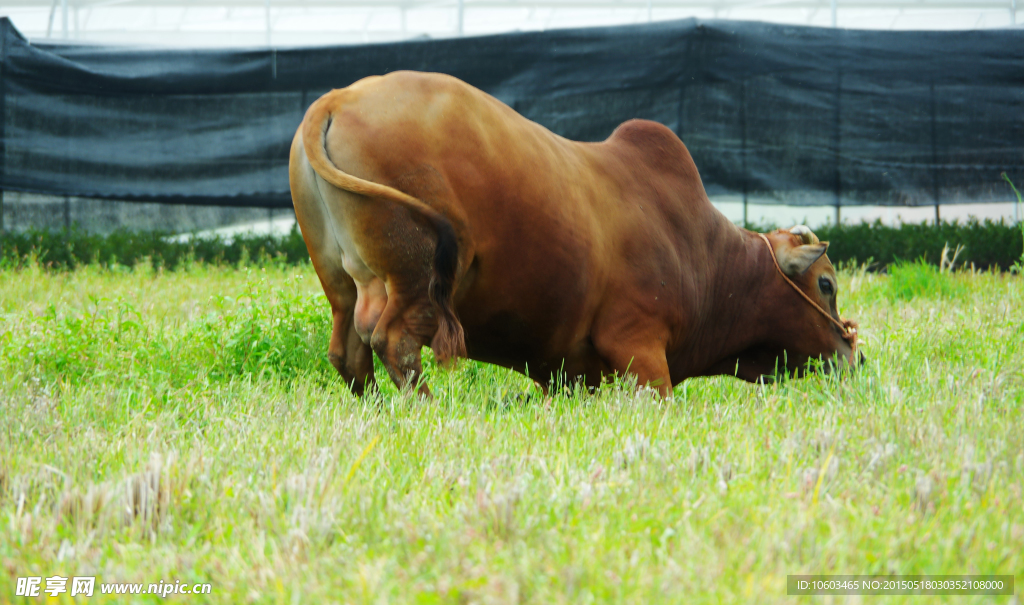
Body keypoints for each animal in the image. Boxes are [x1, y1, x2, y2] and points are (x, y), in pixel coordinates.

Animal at [292, 71, 860, 397]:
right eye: (825, 284)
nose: (853, 354)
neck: (702, 254)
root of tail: (338, 98)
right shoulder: (640, 347)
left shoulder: (567, 374)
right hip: (415, 278)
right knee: (393, 341)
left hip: (341, 282)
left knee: (348, 350)